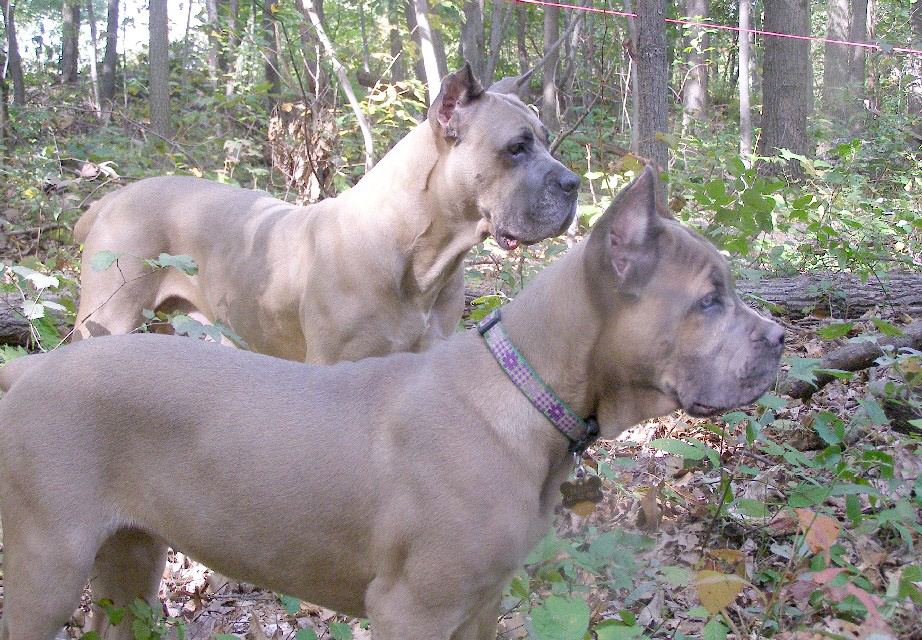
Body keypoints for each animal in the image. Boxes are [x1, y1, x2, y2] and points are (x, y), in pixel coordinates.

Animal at [0, 166, 784, 640]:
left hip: (129, 560)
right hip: (46, 564)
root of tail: (29, 375)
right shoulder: (413, 607)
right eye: (709, 301)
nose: (780, 338)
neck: (524, 395)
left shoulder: (481, 605)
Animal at [73, 65, 576, 364]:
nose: (572, 185)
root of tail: (110, 200)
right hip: (108, 319)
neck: (418, 252)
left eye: (545, 138)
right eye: (515, 148)